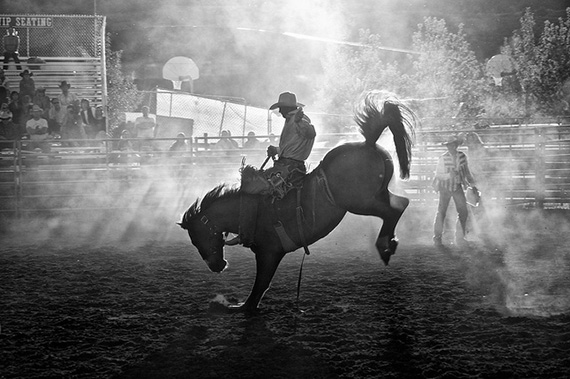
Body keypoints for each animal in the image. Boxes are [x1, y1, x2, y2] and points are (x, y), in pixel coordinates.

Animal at [178, 90, 418, 314]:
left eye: (196, 239)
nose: (217, 266)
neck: (247, 209)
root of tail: (368, 143)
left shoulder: (268, 252)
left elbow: (260, 286)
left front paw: (241, 307)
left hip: (360, 201)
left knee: (392, 211)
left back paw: (384, 247)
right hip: (376, 195)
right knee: (401, 203)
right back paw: (390, 244)